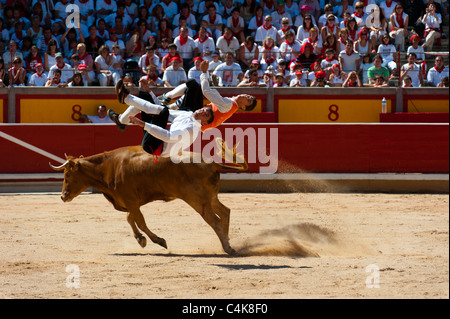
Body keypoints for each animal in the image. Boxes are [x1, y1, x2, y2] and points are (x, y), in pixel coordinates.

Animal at [51, 141, 248, 256]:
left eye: (67, 175)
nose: (62, 196)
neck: (109, 167)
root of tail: (212, 163)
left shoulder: (130, 201)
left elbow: (140, 221)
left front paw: (157, 241)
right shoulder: (131, 202)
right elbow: (130, 219)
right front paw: (140, 239)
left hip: (198, 201)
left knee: (214, 221)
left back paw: (228, 248)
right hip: (210, 198)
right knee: (225, 212)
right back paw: (229, 243)